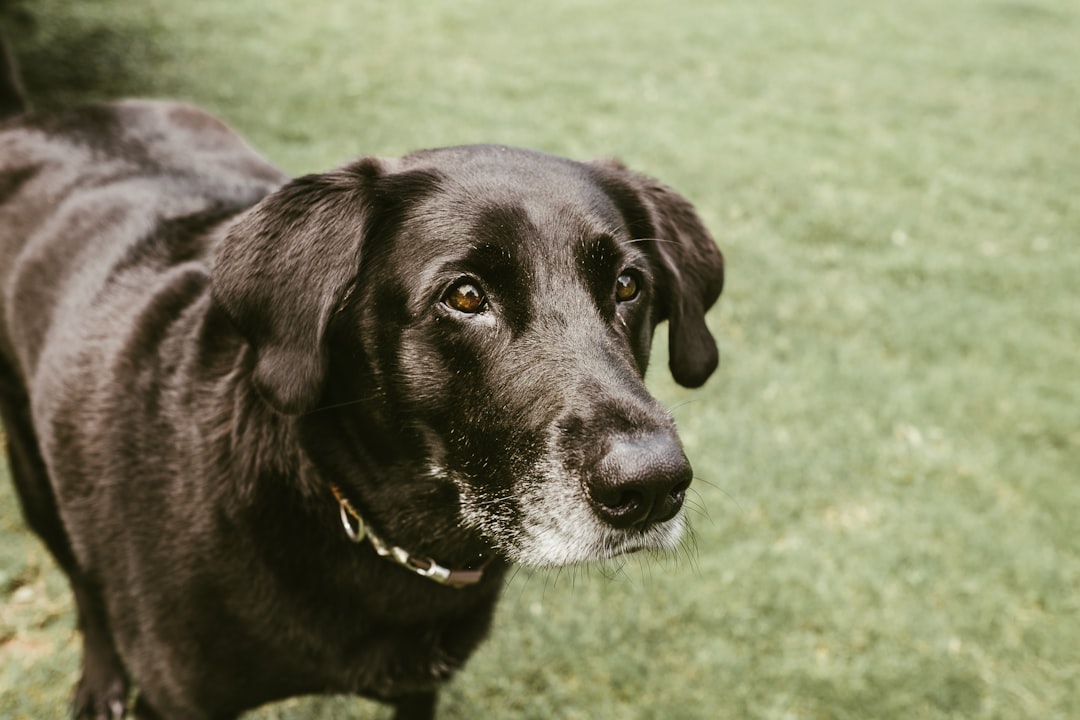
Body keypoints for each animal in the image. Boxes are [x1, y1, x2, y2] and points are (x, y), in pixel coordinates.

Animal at [2, 42, 725, 716]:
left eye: (628, 285)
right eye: (465, 296)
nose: (651, 486)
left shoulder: (421, 687)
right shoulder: (175, 699)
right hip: (36, 474)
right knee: (84, 583)